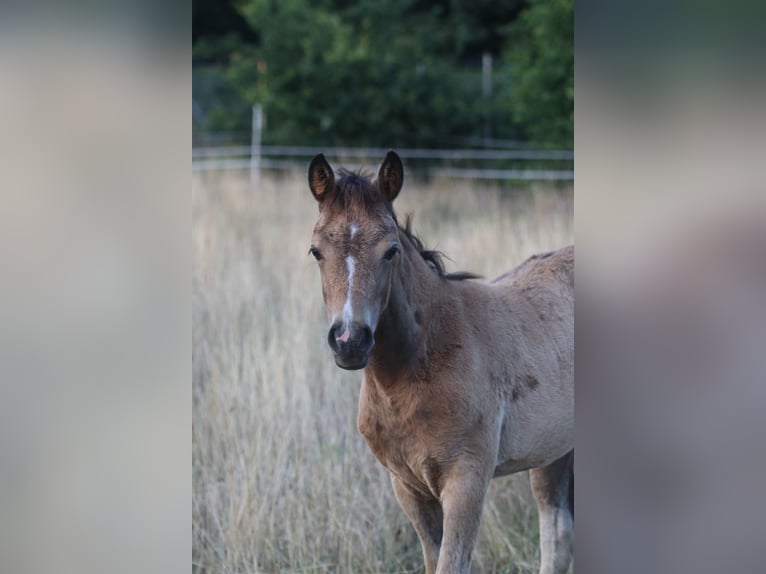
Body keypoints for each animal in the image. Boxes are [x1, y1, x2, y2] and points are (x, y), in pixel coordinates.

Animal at [308, 152, 572, 574]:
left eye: (391, 250)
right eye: (316, 251)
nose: (350, 341)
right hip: (554, 449)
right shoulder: (408, 487)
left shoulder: (467, 482)